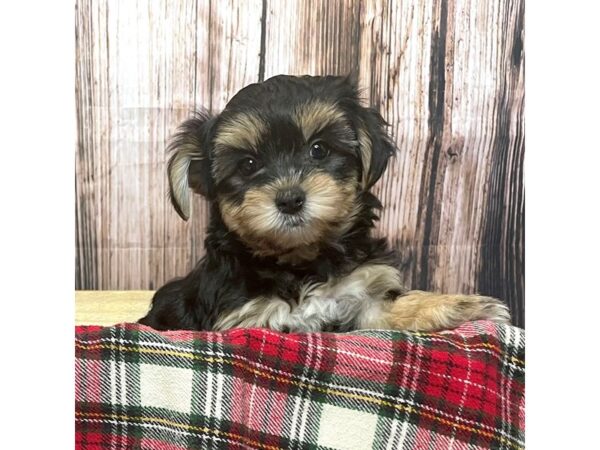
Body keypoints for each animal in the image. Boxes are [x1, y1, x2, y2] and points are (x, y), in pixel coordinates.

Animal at [138, 74, 508, 334]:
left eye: (319, 149)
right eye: (247, 165)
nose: (290, 199)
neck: (300, 262)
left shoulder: (360, 298)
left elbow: (389, 309)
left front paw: (461, 306)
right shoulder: (247, 318)